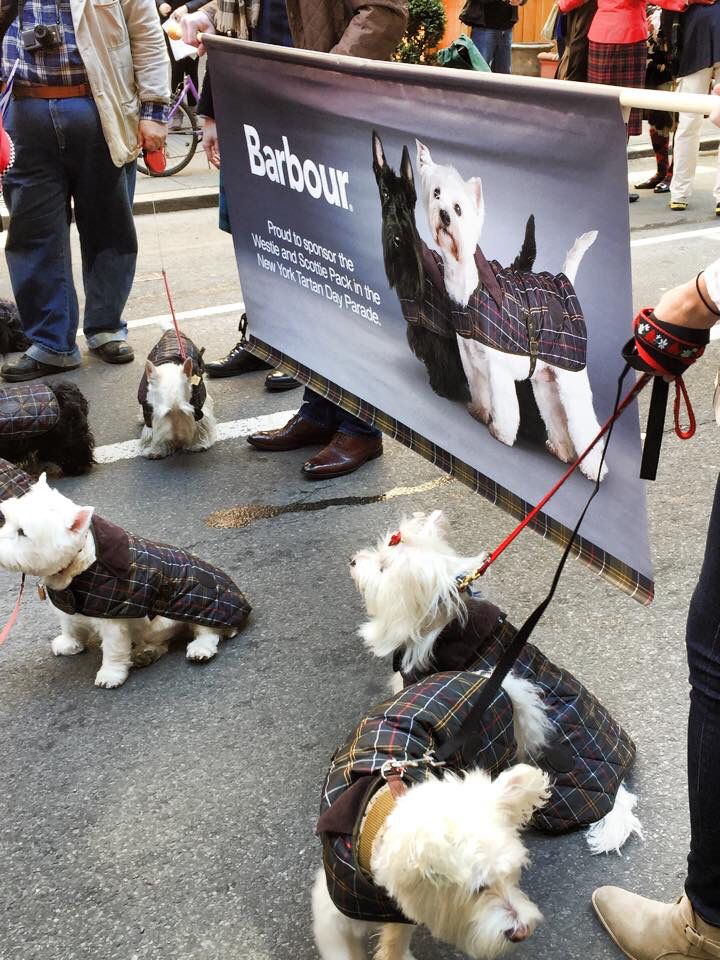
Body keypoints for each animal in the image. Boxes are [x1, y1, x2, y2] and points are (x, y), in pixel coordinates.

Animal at [0, 470, 250, 684]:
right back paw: (146, 652)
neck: (77, 566)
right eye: (7, 520)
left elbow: (113, 649)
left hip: (197, 606)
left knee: (208, 631)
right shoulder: (69, 605)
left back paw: (200, 649)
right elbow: (70, 625)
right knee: (162, 642)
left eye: (22, 532)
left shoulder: (113, 621)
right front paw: (69, 643)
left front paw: (110, 674)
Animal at [138, 330, 217, 462]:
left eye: (184, 411)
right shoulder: (148, 410)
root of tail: (171, 330)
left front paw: (197, 444)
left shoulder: (198, 405)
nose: (178, 440)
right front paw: (155, 450)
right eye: (165, 414)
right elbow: (151, 430)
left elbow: (201, 422)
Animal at [416, 139, 608, 484]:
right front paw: (479, 412)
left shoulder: (498, 367)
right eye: (436, 194)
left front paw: (501, 434)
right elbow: (479, 390)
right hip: (545, 382)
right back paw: (560, 450)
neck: (470, 289)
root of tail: (565, 282)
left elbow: (505, 407)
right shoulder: (469, 355)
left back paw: (593, 469)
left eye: (459, 208)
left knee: (586, 425)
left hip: (571, 378)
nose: (444, 216)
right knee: (556, 418)